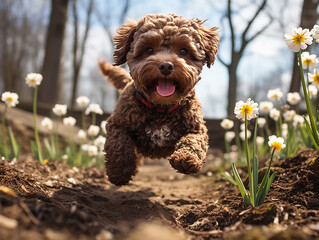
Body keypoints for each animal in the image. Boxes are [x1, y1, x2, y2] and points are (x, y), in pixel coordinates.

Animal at [100, 13, 220, 186]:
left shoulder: (197, 128)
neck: (160, 108)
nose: (166, 66)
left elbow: (193, 141)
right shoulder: (117, 123)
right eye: (149, 50)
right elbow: (119, 143)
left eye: (183, 50)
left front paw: (186, 159)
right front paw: (119, 171)